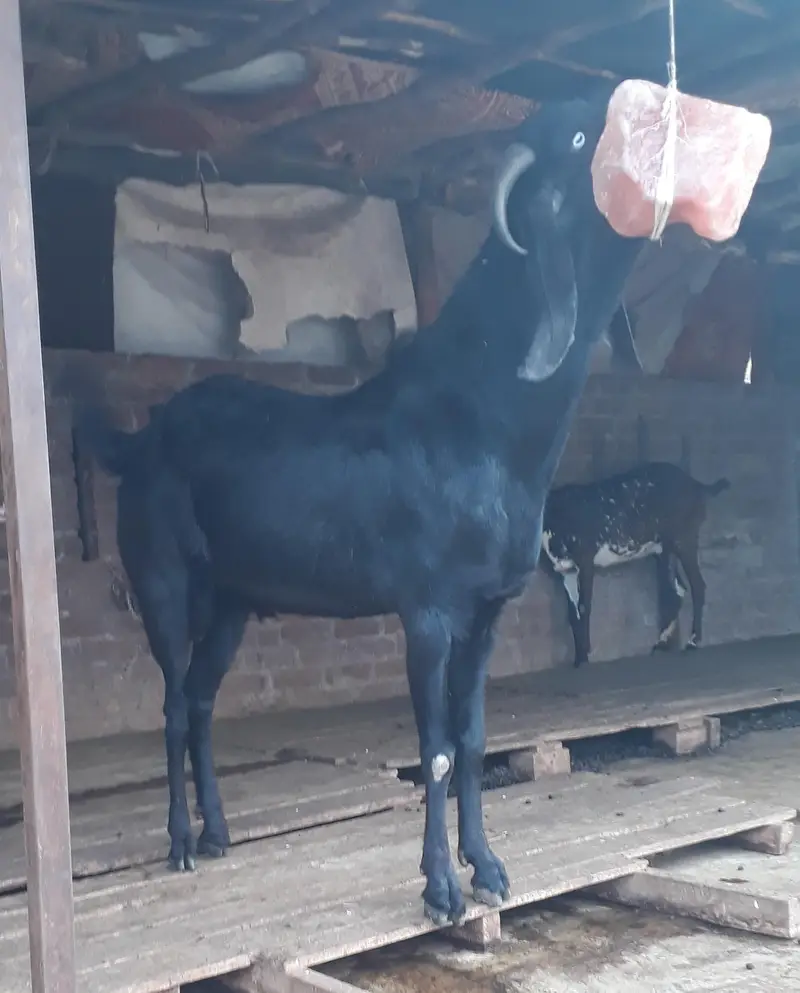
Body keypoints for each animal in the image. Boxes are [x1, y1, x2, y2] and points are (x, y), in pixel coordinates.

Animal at [76, 96, 646, 927]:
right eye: (578, 137)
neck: (478, 413)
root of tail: (140, 437)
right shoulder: (428, 610)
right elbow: (435, 748)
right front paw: (440, 888)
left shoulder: (488, 611)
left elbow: (474, 738)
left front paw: (489, 869)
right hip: (161, 579)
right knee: (176, 703)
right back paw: (181, 840)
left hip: (234, 601)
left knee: (204, 699)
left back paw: (217, 833)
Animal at [541, 461, 730, 667]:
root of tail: (697, 485)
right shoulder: (567, 572)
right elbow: (572, 614)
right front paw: (578, 659)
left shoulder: (585, 563)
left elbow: (584, 609)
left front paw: (584, 658)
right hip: (664, 550)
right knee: (677, 590)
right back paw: (661, 642)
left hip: (684, 539)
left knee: (697, 586)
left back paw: (693, 641)